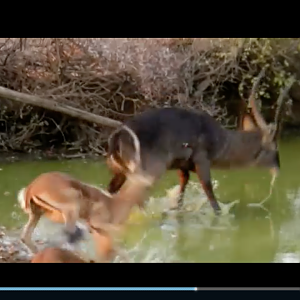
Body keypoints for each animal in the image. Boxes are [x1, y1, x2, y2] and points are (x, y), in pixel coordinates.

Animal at [17, 171, 151, 262]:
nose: (145, 204)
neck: (114, 204)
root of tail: (30, 189)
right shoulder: (97, 224)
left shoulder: (98, 230)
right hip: (71, 209)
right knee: (69, 234)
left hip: (36, 214)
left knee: (25, 237)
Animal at [105, 69, 292, 216]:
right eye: (274, 147)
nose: (278, 168)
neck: (220, 140)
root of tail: (117, 135)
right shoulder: (202, 161)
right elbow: (212, 199)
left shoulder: (183, 168)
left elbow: (180, 197)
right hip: (146, 174)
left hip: (121, 172)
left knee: (111, 192)